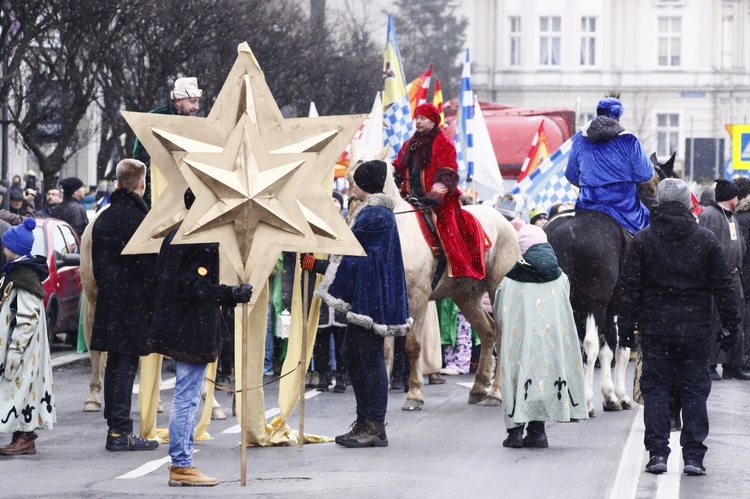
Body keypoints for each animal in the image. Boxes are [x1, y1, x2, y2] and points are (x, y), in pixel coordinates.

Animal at [348, 155, 520, 410]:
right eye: (347, 179)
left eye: (359, 178)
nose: (350, 220)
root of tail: (506, 222)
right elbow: (386, 348)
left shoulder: (418, 299)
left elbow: (412, 345)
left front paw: (414, 395)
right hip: (466, 296)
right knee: (487, 332)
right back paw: (479, 388)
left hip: (496, 289)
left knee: (500, 334)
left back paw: (495, 394)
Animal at [544, 153, 680, 418]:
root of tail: (568, 231)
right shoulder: (619, 309)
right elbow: (621, 349)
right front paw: (618, 395)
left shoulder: (609, 309)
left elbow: (609, 349)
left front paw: (609, 396)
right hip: (595, 302)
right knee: (589, 345)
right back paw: (586, 402)